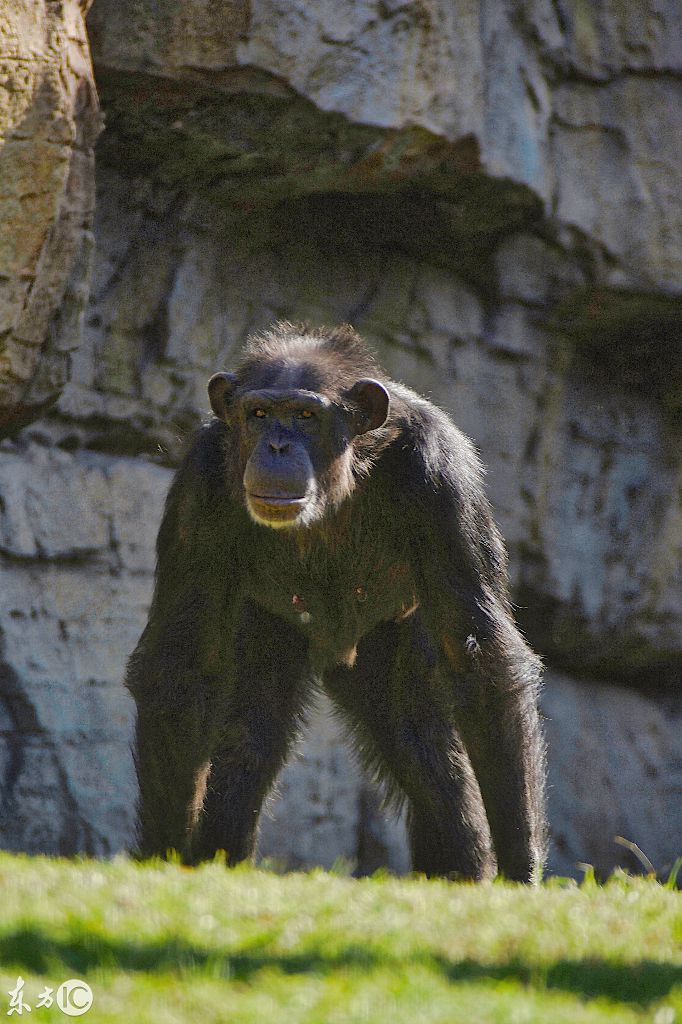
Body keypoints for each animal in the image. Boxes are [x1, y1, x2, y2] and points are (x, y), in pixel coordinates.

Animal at [124, 321, 544, 880]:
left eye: (306, 415)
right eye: (259, 415)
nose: (278, 445)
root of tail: (336, 652)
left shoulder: (442, 476)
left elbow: (476, 656)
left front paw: (522, 869)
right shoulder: (201, 482)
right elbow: (182, 667)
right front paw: (164, 854)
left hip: (392, 636)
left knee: (420, 741)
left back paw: (460, 873)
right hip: (267, 627)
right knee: (251, 738)